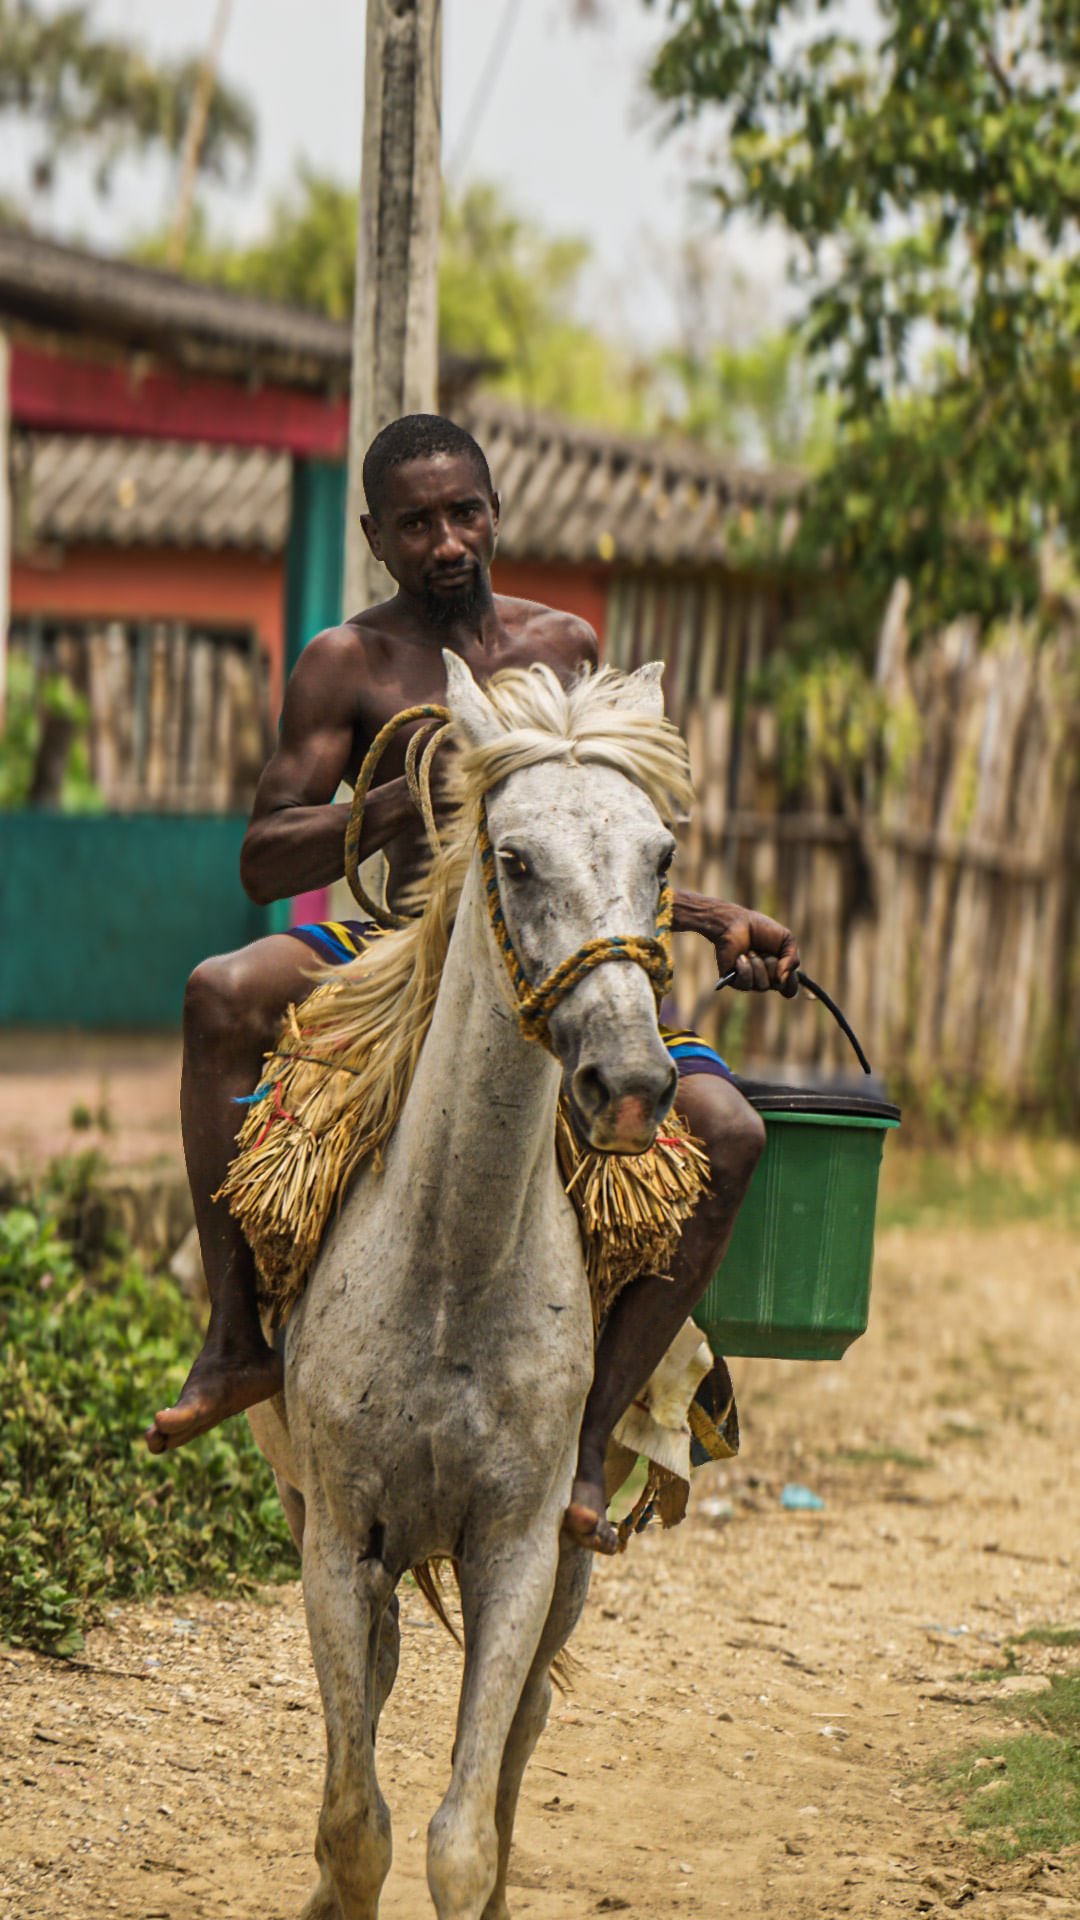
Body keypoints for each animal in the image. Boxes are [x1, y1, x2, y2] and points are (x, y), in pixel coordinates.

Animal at [248, 650, 696, 1920]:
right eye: (515, 859)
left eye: (663, 857)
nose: (631, 1084)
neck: (452, 1266)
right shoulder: (337, 1540)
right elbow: (357, 1824)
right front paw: (330, 1884)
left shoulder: (519, 1549)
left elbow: (460, 1836)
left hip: (574, 1556)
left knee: (524, 1727)